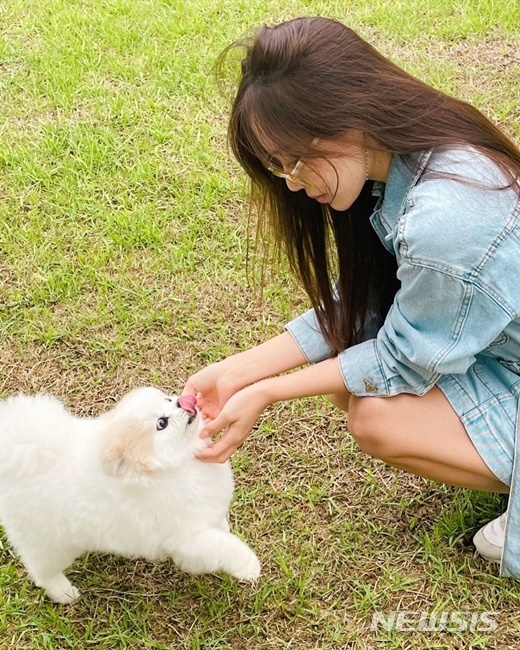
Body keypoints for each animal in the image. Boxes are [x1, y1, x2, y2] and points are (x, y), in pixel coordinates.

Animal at [0, 384, 260, 604]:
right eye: (162, 423)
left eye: (167, 399)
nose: (182, 401)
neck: (176, 466)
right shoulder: (188, 539)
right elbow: (223, 546)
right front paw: (249, 566)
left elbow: (220, 526)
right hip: (49, 544)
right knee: (42, 572)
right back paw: (64, 593)